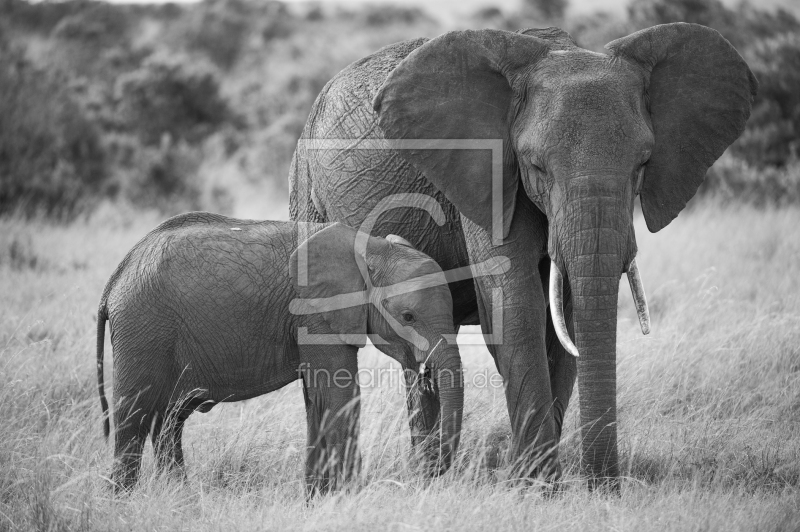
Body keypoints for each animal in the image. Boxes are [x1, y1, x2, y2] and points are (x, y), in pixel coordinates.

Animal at [97, 212, 466, 494]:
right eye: (408, 317)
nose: (430, 473)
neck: (373, 249)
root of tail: (115, 279)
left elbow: (317, 399)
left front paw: (318, 499)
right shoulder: (315, 314)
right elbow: (339, 395)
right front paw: (350, 497)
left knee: (169, 420)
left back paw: (179, 498)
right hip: (142, 326)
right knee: (133, 414)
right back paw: (122, 501)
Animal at [290, 22, 756, 488]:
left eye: (643, 164)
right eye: (536, 166)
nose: (604, 487)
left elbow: (566, 316)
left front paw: (535, 480)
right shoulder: (489, 173)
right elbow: (515, 302)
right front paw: (534, 485)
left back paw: (431, 474)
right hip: (306, 189)